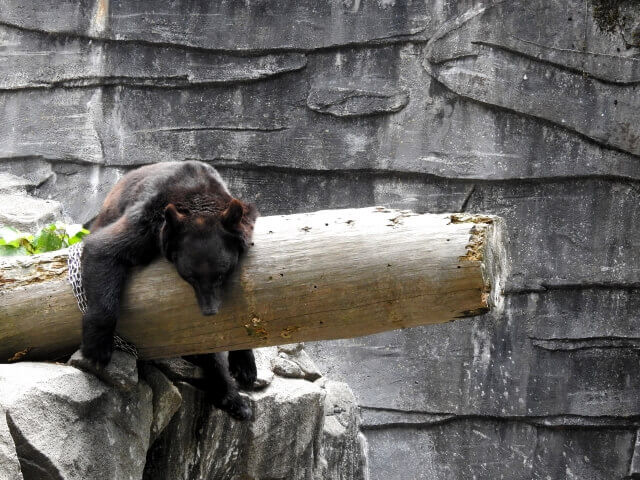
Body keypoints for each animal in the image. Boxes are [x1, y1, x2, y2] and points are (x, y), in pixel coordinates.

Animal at [82, 161, 258, 420]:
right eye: (189, 277)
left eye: (220, 274)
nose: (209, 310)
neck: (198, 196)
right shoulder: (148, 222)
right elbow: (104, 248)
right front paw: (97, 350)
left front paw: (244, 366)